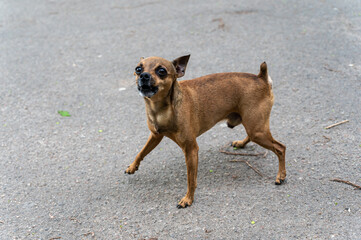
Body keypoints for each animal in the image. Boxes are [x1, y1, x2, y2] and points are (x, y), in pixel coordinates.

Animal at [125, 54, 286, 208]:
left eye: (161, 71)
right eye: (138, 69)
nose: (144, 75)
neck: (160, 110)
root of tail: (261, 78)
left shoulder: (190, 149)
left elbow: (191, 179)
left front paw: (188, 199)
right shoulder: (155, 136)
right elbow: (141, 152)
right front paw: (133, 166)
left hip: (257, 130)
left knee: (280, 148)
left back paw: (281, 176)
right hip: (253, 126)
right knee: (253, 137)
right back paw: (241, 143)